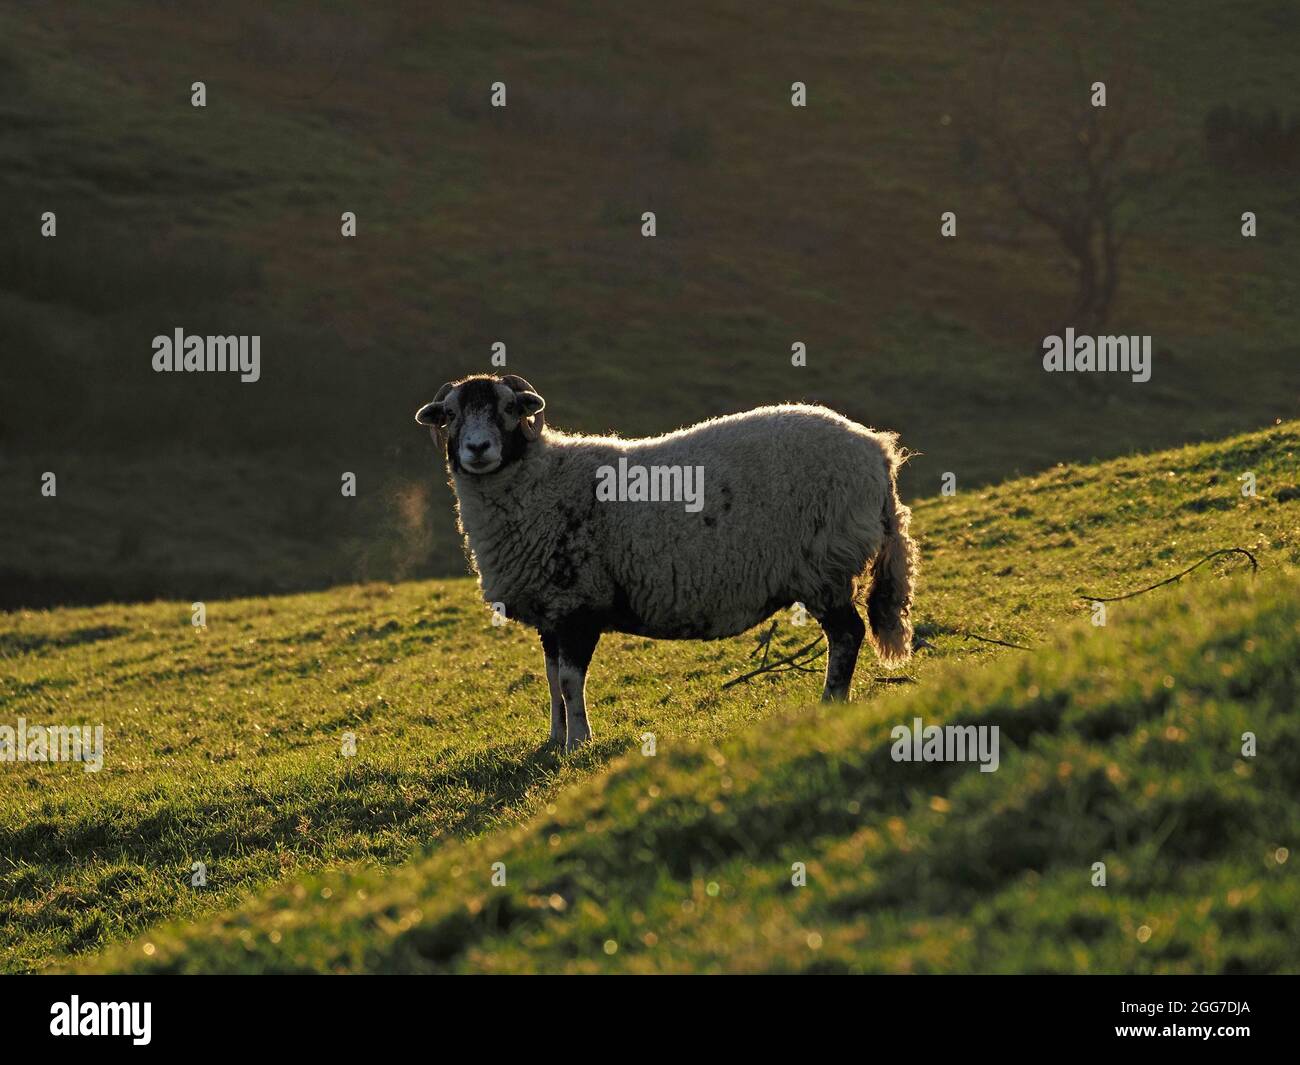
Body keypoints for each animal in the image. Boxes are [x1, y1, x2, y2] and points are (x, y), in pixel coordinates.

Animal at [415, 373, 918, 751]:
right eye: (452, 414)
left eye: (509, 409)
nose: (477, 449)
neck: (538, 483)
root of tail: (877, 450)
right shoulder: (551, 612)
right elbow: (552, 679)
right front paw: (555, 739)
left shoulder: (580, 604)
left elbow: (571, 681)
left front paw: (579, 742)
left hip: (823, 566)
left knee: (848, 635)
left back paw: (831, 703)